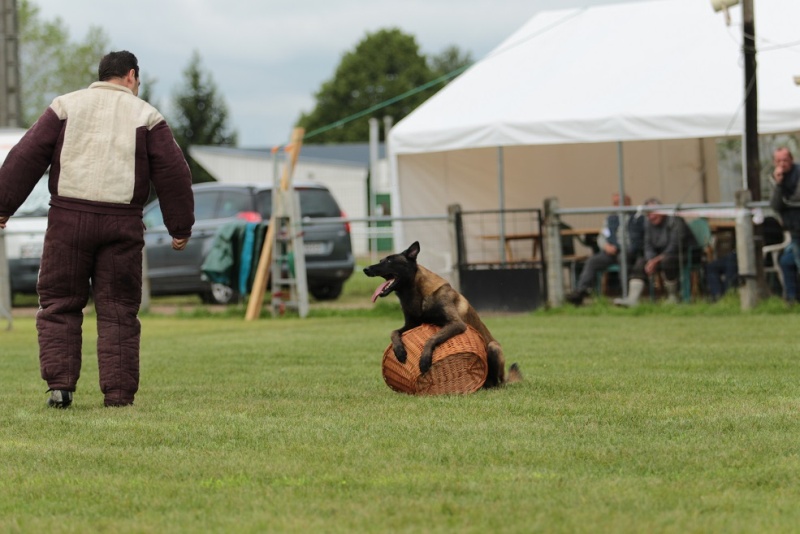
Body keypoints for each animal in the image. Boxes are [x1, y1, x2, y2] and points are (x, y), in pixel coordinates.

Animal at [364, 243, 524, 390]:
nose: (366, 269)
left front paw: (424, 359)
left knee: (497, 382)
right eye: (381, 260)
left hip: (493, 348)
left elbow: (431, 338)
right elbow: (394, 332)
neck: (415, 293)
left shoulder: (456, 323)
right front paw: (399, 351)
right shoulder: (411, 324)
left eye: (389, 261)